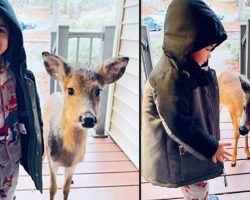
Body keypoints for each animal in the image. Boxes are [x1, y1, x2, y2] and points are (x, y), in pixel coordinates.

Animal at [41, 52, 129, 200]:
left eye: (98, 91)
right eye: (70, 90)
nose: (88, 118)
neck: (68, 153)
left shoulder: (73, 164)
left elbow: (66, 189)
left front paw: (69, 183)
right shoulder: (53, 161)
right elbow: (52, 188)